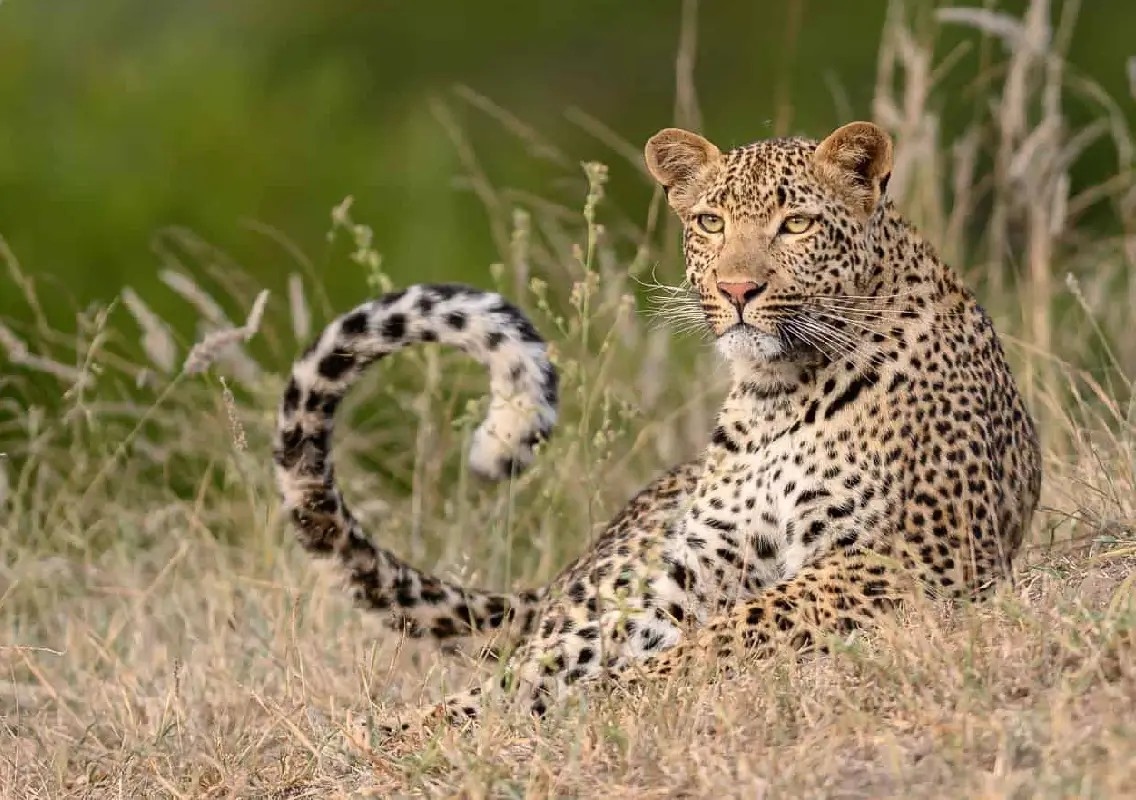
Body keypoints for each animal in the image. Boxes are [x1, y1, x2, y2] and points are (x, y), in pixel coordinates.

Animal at [272, 120, 1042, 733]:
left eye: (797, 224)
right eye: (710, 222)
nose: (737, 289)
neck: (778, 393)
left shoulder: (913, 553)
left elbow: (740, 627)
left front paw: (623, 691)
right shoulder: (690, 572)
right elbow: (561, 668)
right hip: (608, 581)